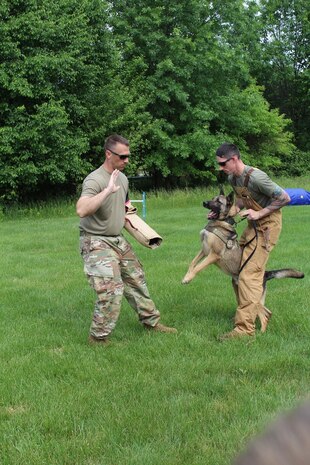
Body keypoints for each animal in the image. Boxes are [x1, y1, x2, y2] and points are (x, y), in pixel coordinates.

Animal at [183, 188, 304, 330]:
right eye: (212, 198)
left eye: (218, 201)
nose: (204, 202)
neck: (220, 222)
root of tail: (265, 274)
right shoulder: (204, 251)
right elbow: (192, 263)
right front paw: (186, 276)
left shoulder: (213, 255)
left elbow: (198, 267)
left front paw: (188, 279)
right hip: (240, 293)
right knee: (266, 311)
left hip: (251, 295)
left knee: (264, 314)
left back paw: (260, 332)